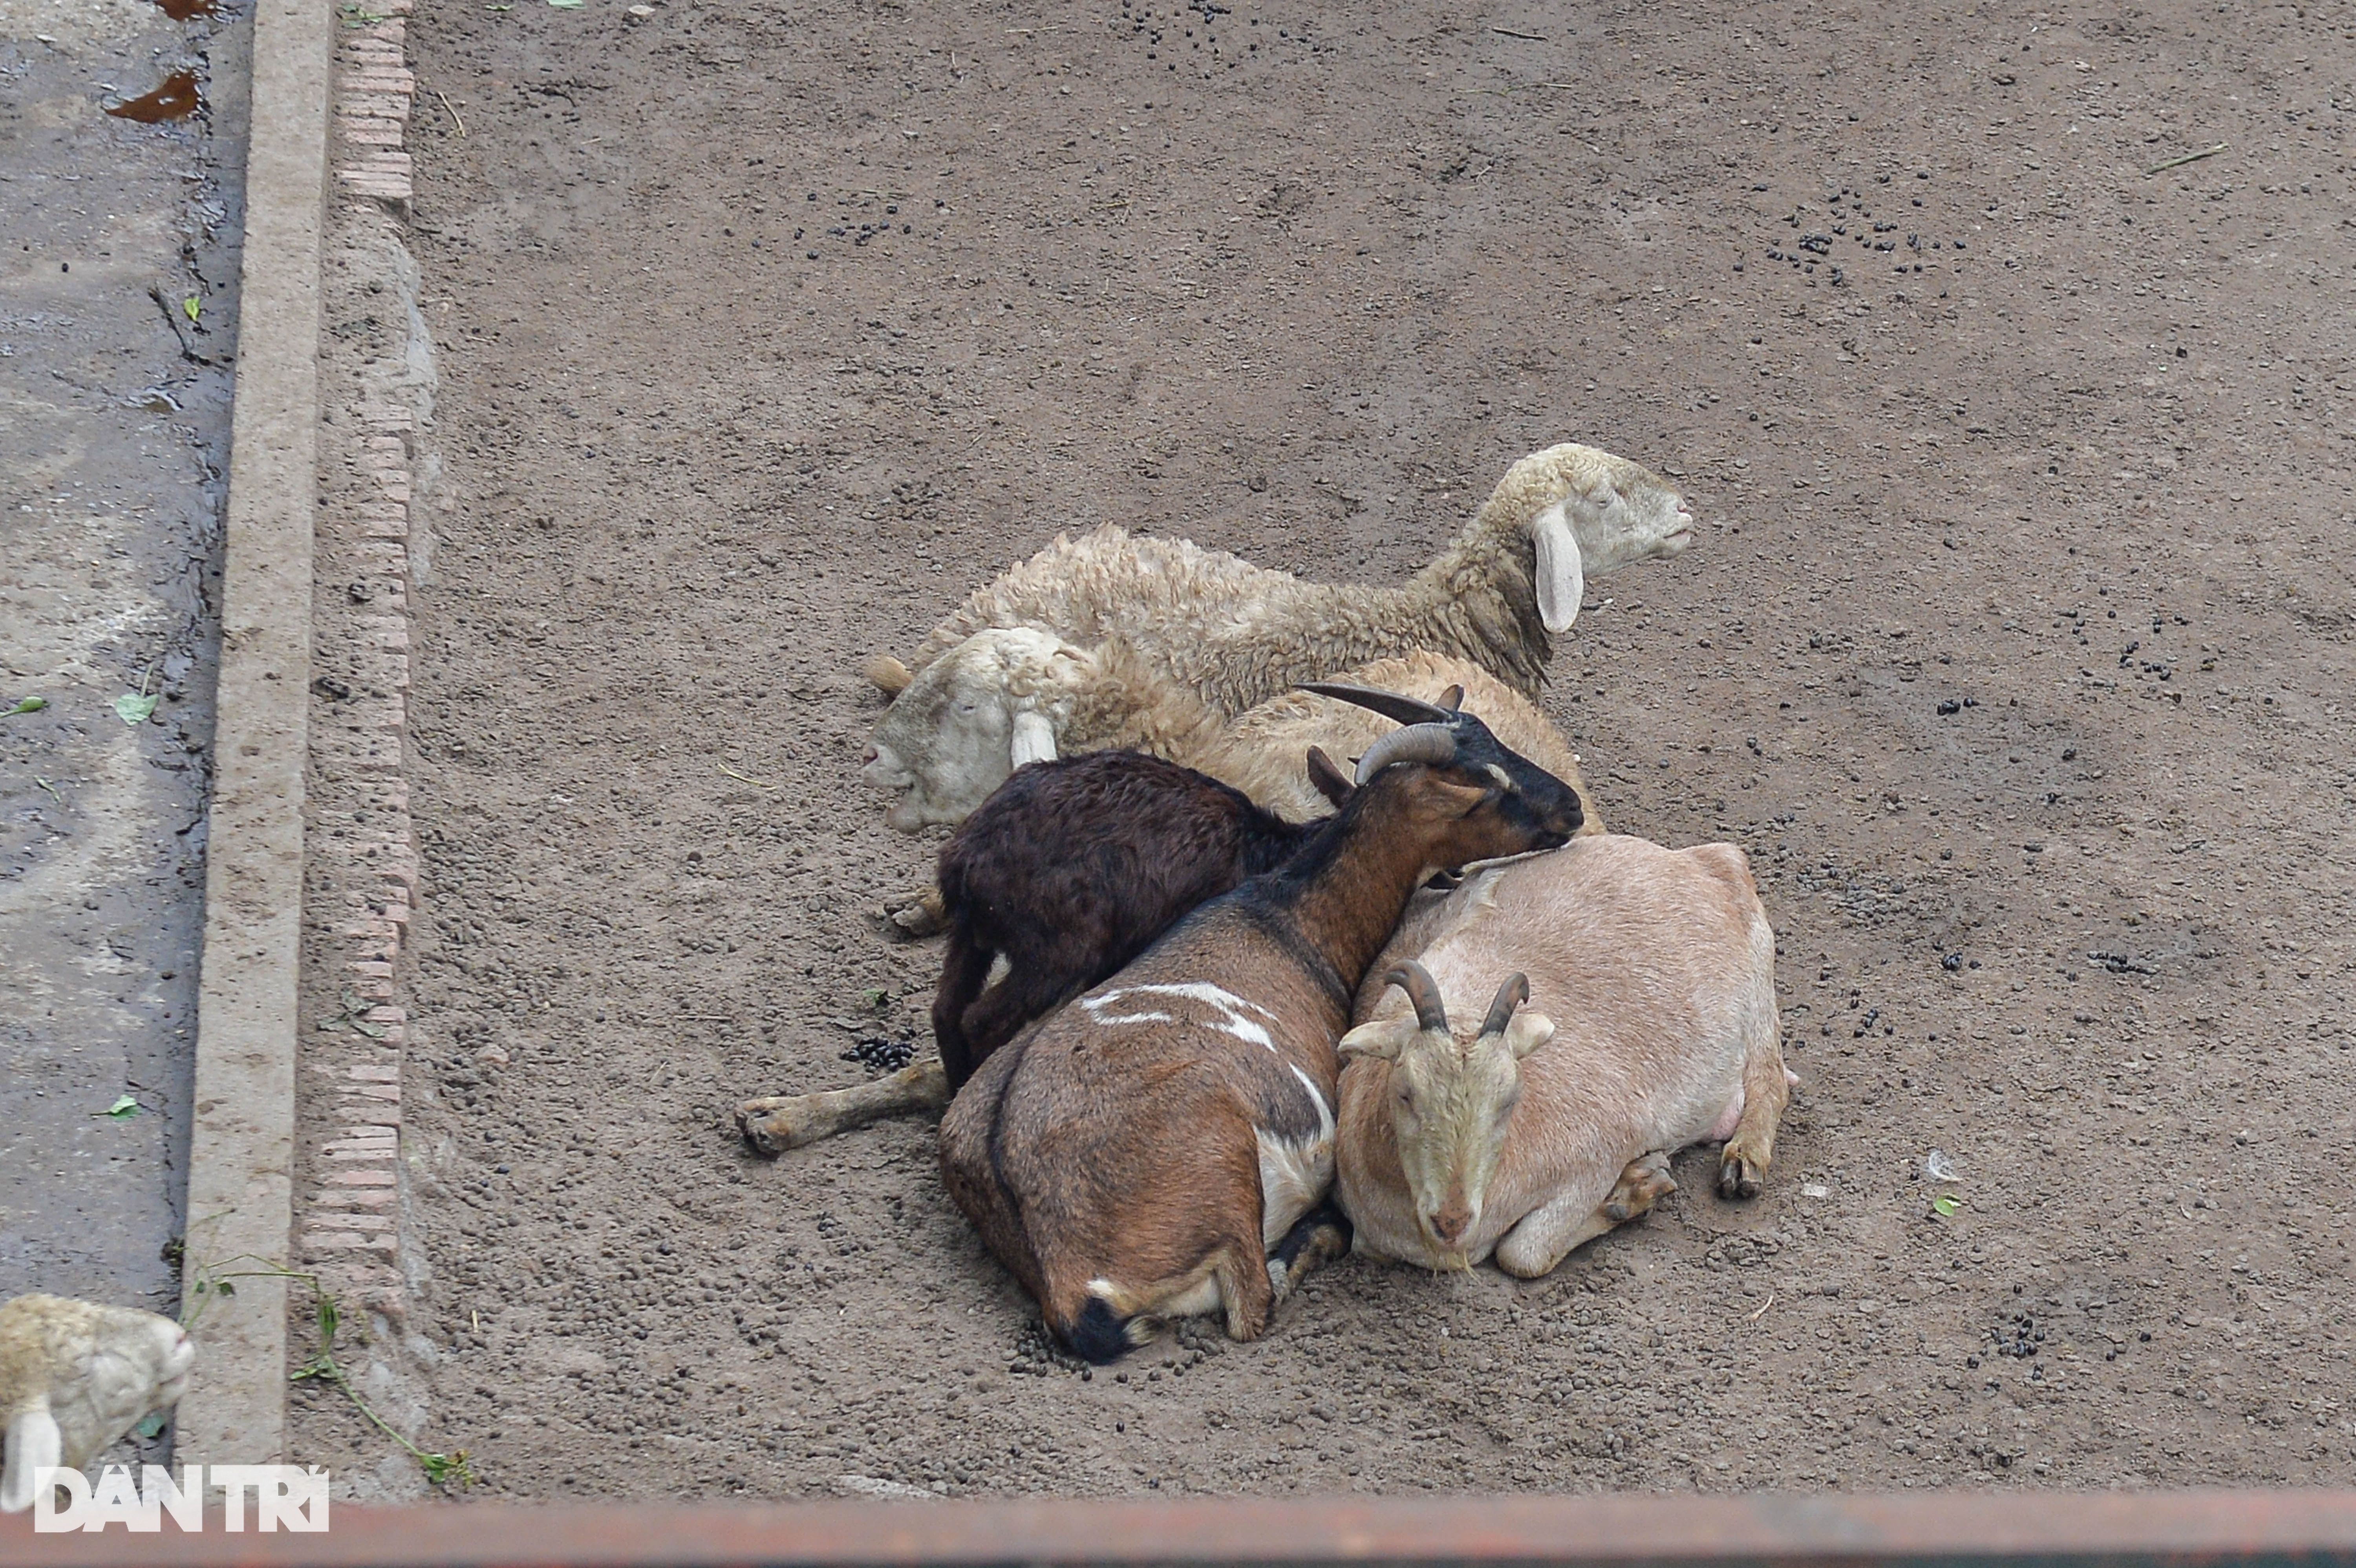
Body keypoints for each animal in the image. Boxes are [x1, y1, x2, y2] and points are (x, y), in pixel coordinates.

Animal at [938, 687, 1583, 1356]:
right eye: (1489, 787)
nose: (1572, 807)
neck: (1288, 917)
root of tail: (1064, 1277)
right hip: (1223, 1153)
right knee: (1253, 1302)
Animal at [1338, 838, 1791, 1281]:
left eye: (1509, 1099)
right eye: (1406, 1094)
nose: (1452, 1219)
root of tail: (1701, 859)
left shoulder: (1604, 1149)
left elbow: (1522, 1254)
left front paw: (1638, 1189)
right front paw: (1637, 1189)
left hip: (1757, 981)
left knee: (1771, 1080)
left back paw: (1744, 1162)